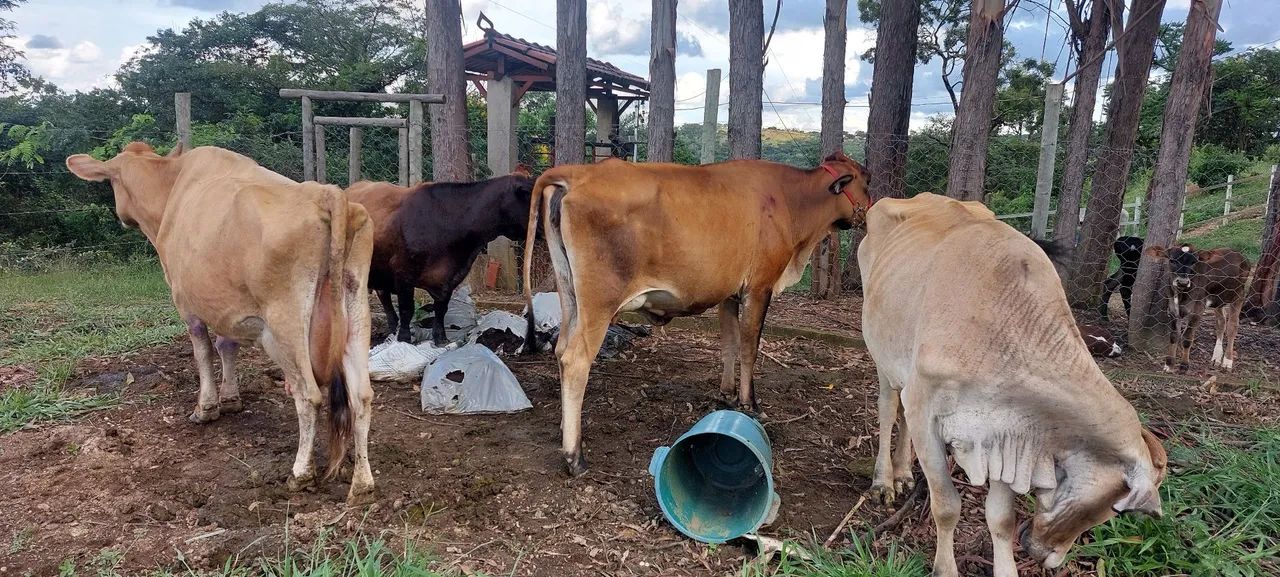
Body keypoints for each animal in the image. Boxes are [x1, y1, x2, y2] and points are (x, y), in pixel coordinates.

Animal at [65, 143, 376, 504]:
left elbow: (203, 351)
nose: (122, 216)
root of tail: (327, 193)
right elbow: (227, 344)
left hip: (286, 321)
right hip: (356, 307)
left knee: (308, 394)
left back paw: (300, 473)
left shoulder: (187, 303)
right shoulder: (229, 308)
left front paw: (206, 407)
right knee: (361, 395)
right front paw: (230, 399)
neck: (172, 189)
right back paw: (362, 482)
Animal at [346, 173, 535, 344]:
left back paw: (392, 329)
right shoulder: (403, 272)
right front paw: (404, 339)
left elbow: (441, 308)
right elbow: (407, 309)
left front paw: (440, 338)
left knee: (384, 298)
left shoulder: (449, 278)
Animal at [521, 151, 871, 475]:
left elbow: (729, 345)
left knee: (561, 348)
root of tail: (579, 172)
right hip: (599, 302)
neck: (790, 200)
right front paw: (750, 404)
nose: (869, 213)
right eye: (866, 181)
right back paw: (574, 456)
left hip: (570, 296)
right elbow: (749, 348)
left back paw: (565, 429)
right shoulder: (759, 287)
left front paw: (727, 395)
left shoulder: (729, 293)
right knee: (575, 359)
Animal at [859, 193, 1167, 577]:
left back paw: (902, 474)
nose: (1047, 557)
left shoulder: (1009, 433)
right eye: (1116, 508)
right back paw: (884, 481)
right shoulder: (925, 409)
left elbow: (1001, 518)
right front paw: (945, 567)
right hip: (882, 355)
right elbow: (946, 505)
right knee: (888, 410)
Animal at [1144, 244, 1252, 373]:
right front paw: (1169, 365)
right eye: (1172, 260)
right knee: (1221, 323)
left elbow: (1187, 338)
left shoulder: (1197, 311)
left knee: (1232, 326)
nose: (1182, 282)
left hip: (1239, 294)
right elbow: (1174, 336)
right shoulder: (1173, 310)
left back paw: (1227, 361)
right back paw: (1216, 357)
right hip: (1218, 300)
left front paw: (1184, 366)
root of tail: (1238, 254)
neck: (1181, 295)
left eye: (1194, 262)